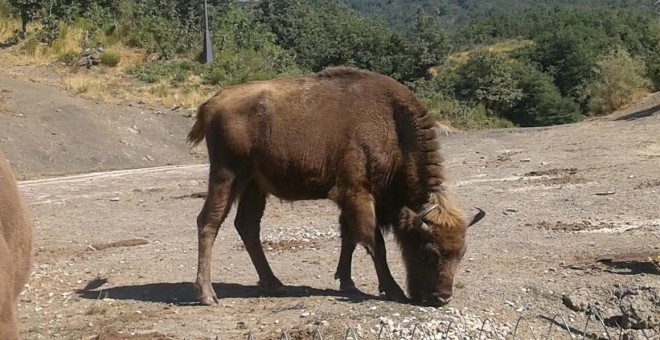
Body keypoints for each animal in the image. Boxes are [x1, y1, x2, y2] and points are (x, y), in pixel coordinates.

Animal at [187, 67, 484, 306]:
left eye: (462, 253)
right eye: (429, 252)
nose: (442, 298)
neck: (392, 126)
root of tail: (211, 102)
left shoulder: (351, 199)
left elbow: (349, 238)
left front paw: (348, 282)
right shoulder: (358, 194)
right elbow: (373, 241)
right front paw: (392, 289)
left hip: (254, 185)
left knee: (247, 226)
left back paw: (274, 284)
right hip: (227, 175)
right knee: (209, 222)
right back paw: (207, 295)